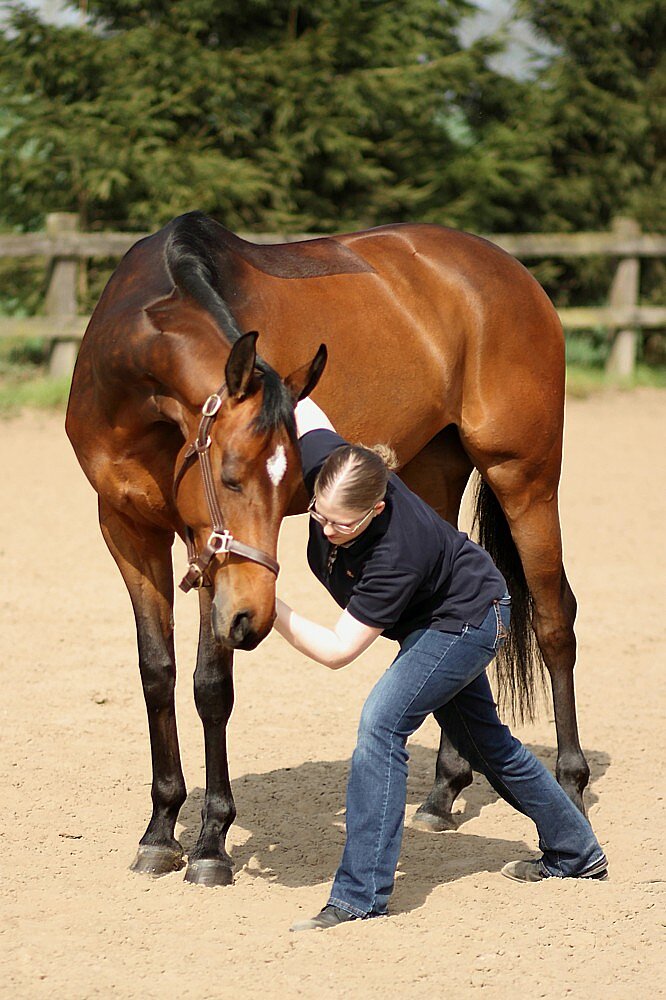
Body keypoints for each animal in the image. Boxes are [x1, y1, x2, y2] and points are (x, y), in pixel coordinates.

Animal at [66, 210, 587, 886]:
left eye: (291, 480)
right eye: (229, 477)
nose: (255, 617)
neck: (130, 386)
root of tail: (514, 273)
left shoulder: (205, 552)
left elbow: (210, 685)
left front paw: (210, 844)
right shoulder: (128, 530)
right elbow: (157, 674)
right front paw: (159, 831)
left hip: (525, 475)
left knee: (553, 620)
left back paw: (570, 789)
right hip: (434, 473)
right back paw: (444, 793)